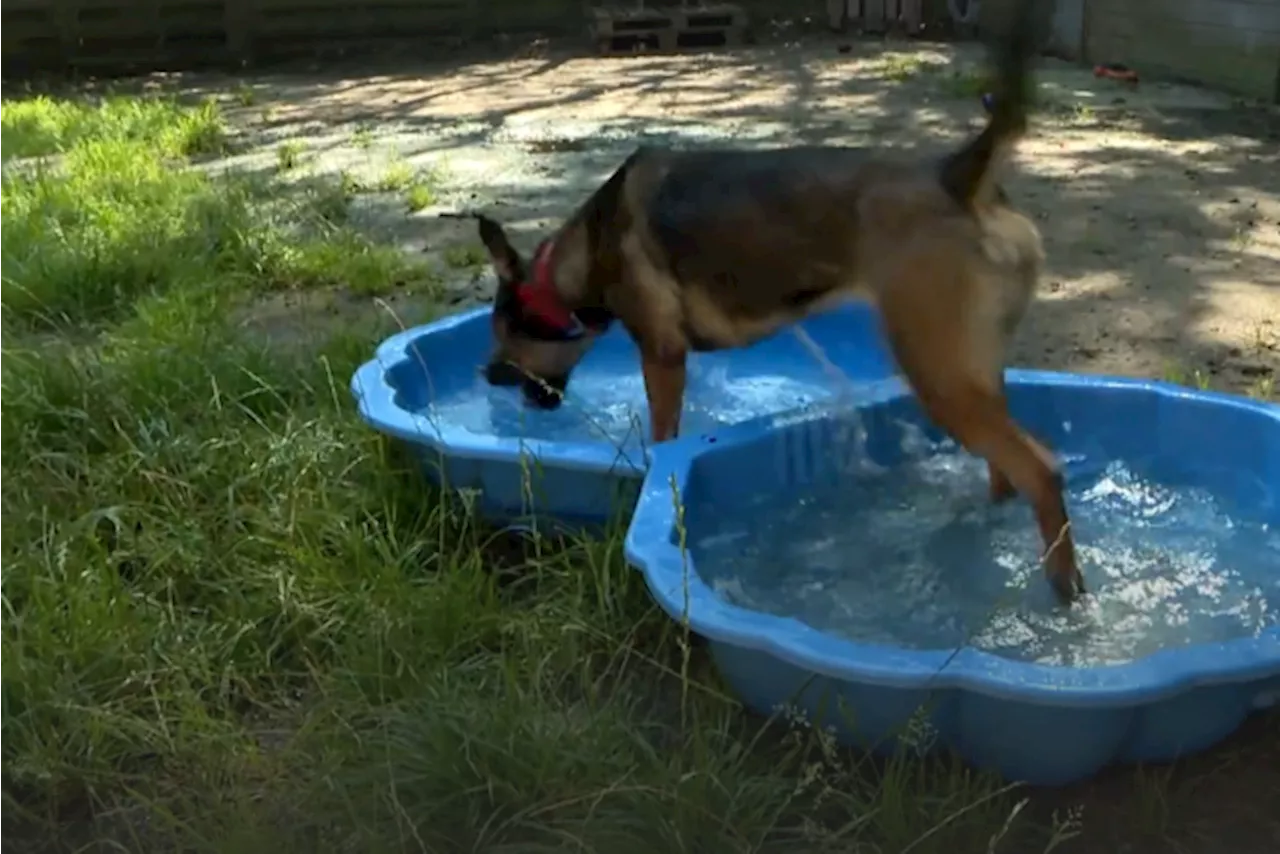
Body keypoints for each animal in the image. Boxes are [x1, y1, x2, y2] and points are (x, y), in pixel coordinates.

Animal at [450, 0, 1080, 601]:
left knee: (1041, 469)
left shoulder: (662, 357)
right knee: (1007, 466)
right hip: (976, 368)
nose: (485, 374)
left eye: (505, 334)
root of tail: (958, 177)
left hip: (939, 374)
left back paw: (1064, 588)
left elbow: (662, 437)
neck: (576, 258)